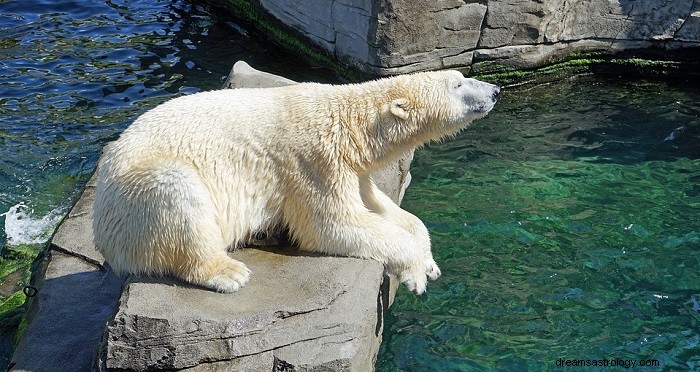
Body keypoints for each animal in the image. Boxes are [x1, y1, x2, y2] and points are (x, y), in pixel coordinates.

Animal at [93, 70, 498, 294]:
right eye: (458, 83)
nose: (495, 90)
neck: (349, 122)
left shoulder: (350, 168)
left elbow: (384, 209)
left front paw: (429, 262)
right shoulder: (313, 161)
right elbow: (331, 225)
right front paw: (415, 273)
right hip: (137, 195)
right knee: (177, 192)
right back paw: (228, 272)